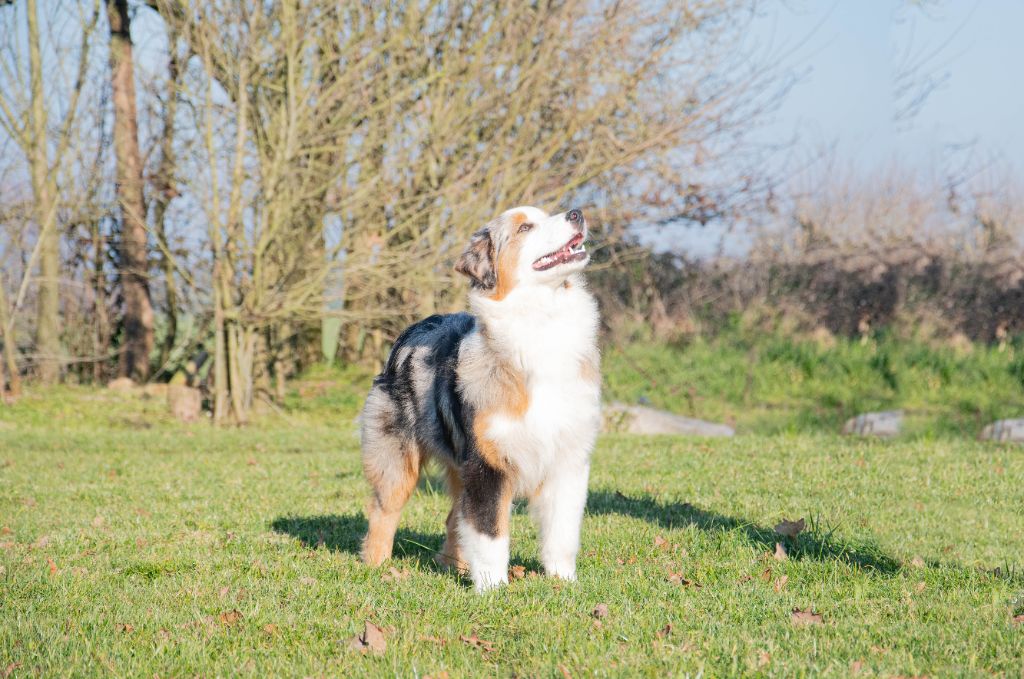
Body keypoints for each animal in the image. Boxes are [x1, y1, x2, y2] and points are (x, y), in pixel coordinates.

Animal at [358, 204, 598, 593]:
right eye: (525, 228)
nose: (577, 213)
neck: (541, 322)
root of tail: (414, 327)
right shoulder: (488, 463)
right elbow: (490, 532)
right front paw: (493, 589)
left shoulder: (567, 460)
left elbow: (561, 532)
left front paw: (564, 582)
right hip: (398, 458)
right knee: (384, 509)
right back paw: (376, 566)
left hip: (459, 464)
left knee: (453, 517)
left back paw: (453, 566)